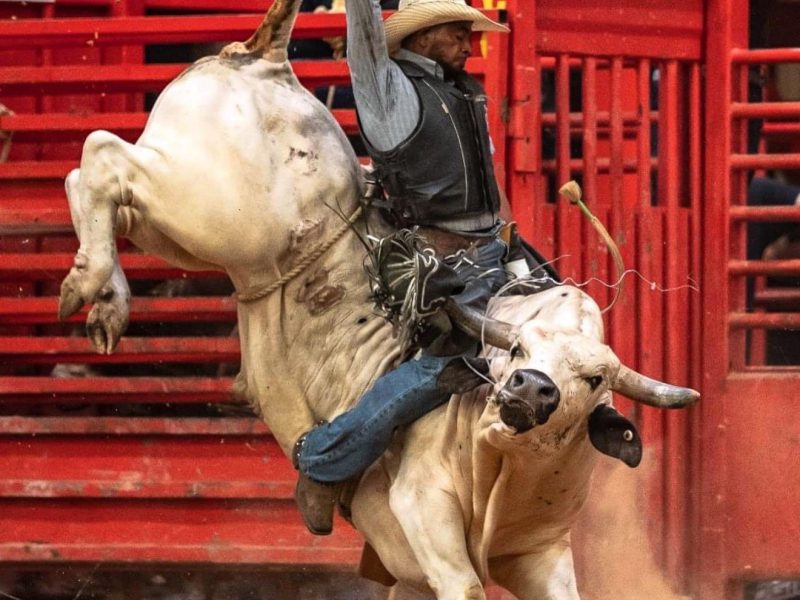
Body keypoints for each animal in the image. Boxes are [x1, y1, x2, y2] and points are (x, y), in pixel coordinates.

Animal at [56, 0, 699, 597]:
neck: (503, 471)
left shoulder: (540, 553)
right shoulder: (426, 515)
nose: (529, 388)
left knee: (102, 183)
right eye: (513, 351)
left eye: (593, 380)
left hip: (182, 226)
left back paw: (107, 299)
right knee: (99, 158)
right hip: (204, 203)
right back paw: (87, 283)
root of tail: (266, 59)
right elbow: (465, 580)